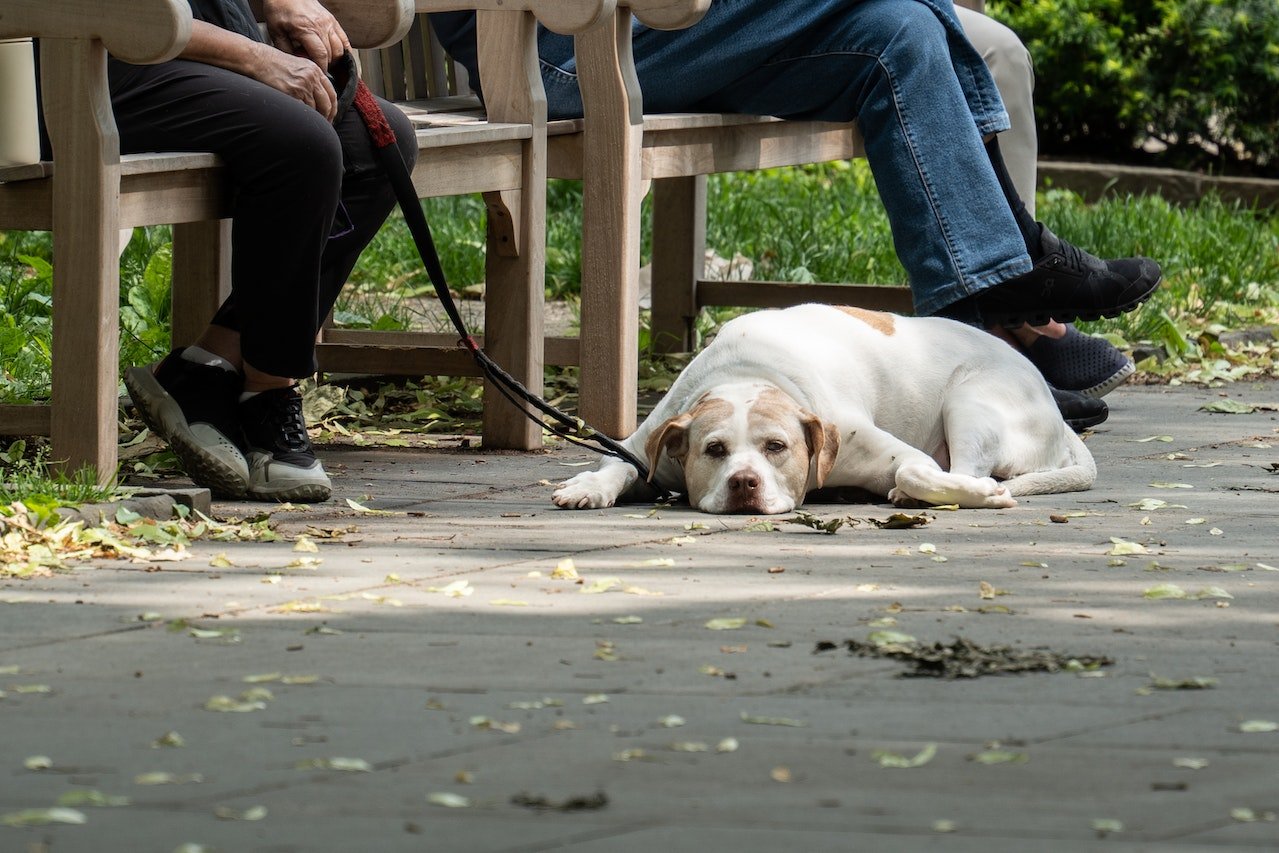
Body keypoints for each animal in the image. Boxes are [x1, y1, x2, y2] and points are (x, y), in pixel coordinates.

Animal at [555, 306, 1094, 514]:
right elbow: (618, 463)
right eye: (714, 449)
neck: (749, 372)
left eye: (777, 447)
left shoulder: (902, 455)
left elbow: (917, 471)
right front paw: (587, 487)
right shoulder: (641, 444)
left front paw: (977, 495)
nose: (744, 483)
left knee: (965, 466)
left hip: (970, 401)